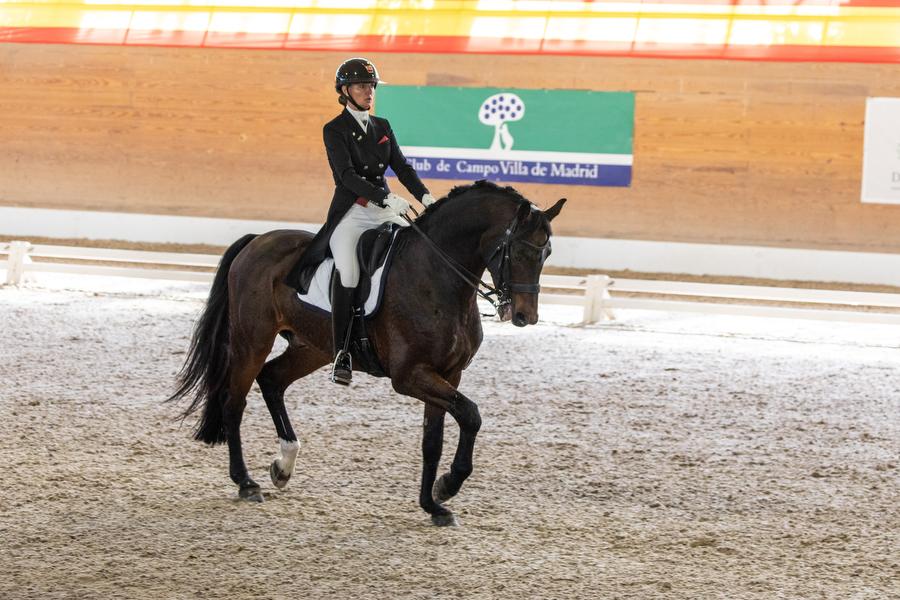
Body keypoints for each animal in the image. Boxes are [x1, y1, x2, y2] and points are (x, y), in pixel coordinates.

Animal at [165, 179, 568, 524]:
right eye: (519, 250)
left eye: (547, 252)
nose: (525, 316)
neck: (438, 277)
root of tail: (257, 240)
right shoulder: (409, 376)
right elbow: (471, 415)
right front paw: (447, 486)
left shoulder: (448, 375)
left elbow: (433, 441)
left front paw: (433, 505)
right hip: (253, 338)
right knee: (234, 401)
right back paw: (246, 483)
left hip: (313, 347)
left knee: (272, 380)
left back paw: (283, 465)